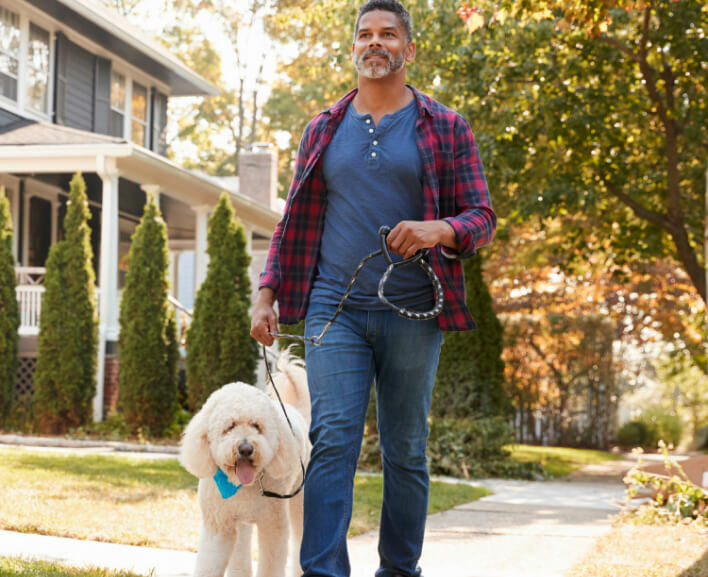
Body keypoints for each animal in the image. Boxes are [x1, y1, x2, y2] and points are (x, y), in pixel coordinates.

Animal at [180, 352, 310, 576]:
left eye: (256, 426)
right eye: (229, 426)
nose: (246, 449)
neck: (241, 485)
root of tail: (297, 411)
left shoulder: (273, 526)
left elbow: (270, 565)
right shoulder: (219, 526)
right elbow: (210, 563)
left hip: (299, 500)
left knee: (300, 537)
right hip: (240, 522)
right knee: (240, 550)